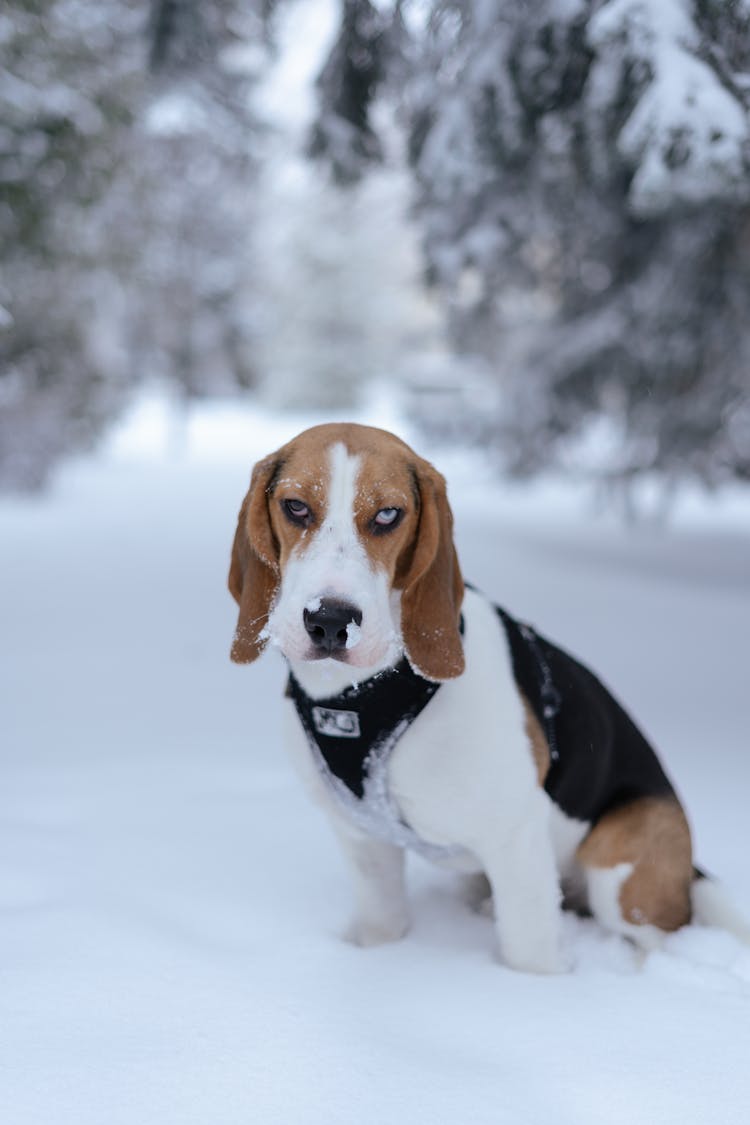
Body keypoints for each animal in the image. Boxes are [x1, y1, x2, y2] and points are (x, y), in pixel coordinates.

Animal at [227, 420, 746, 967]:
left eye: (388, 514)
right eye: (295, 507)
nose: (330, 621)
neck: (361, 694)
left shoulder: (515, 840)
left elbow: (529, 956)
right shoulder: (361, 837)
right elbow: (382, 925)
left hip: (622, 868)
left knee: (659, 937)